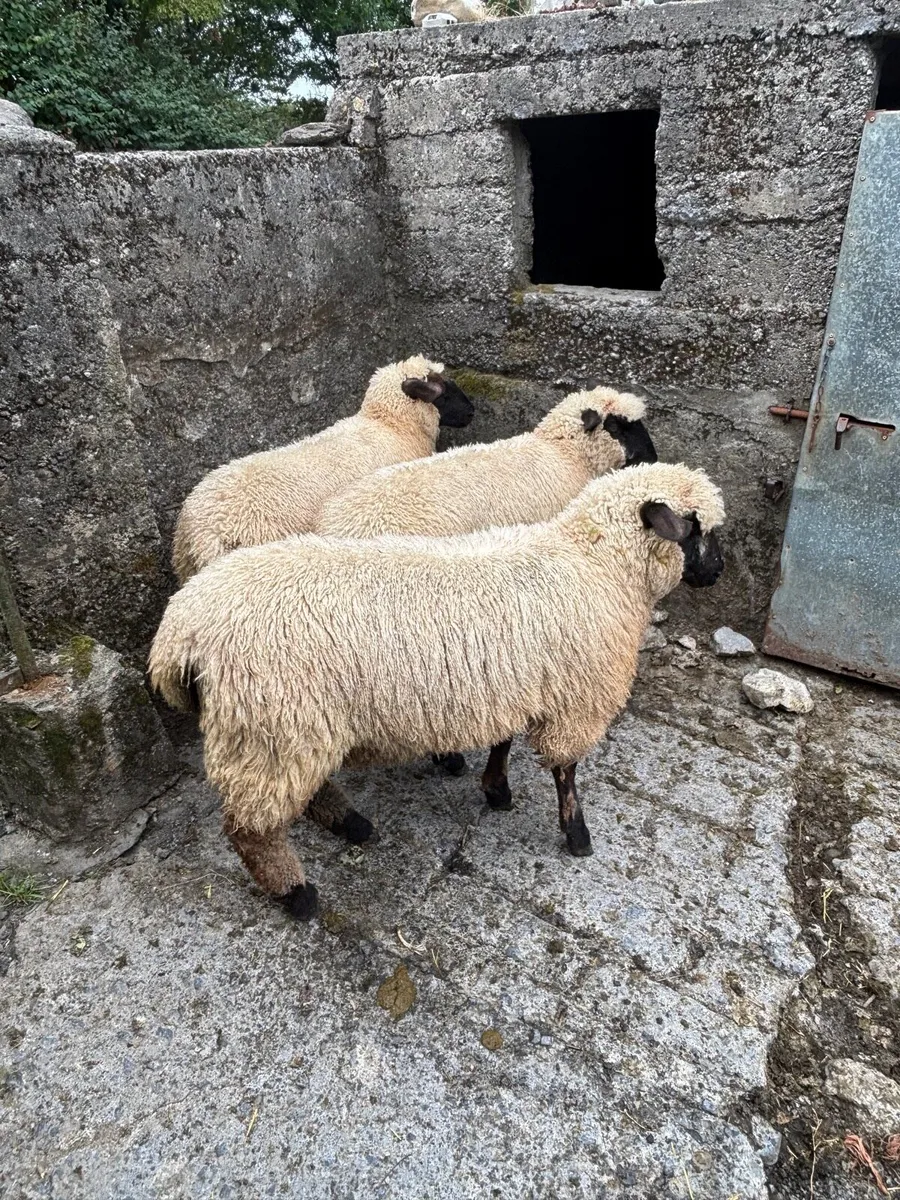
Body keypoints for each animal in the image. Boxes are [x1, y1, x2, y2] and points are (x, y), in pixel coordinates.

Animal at [149, 462, 725, 921]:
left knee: (298, 796)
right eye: (698, 529)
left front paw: (496, 790)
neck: (597, 566)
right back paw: (298, 895)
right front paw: (577, 836)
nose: (717, 573)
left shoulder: (511, 683)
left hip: (285, 730)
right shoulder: (576, 699)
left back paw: (351, 825)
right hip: (269, 725)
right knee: (252, 831)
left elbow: (503, 741)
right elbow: (566, 771)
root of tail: (179, 636)